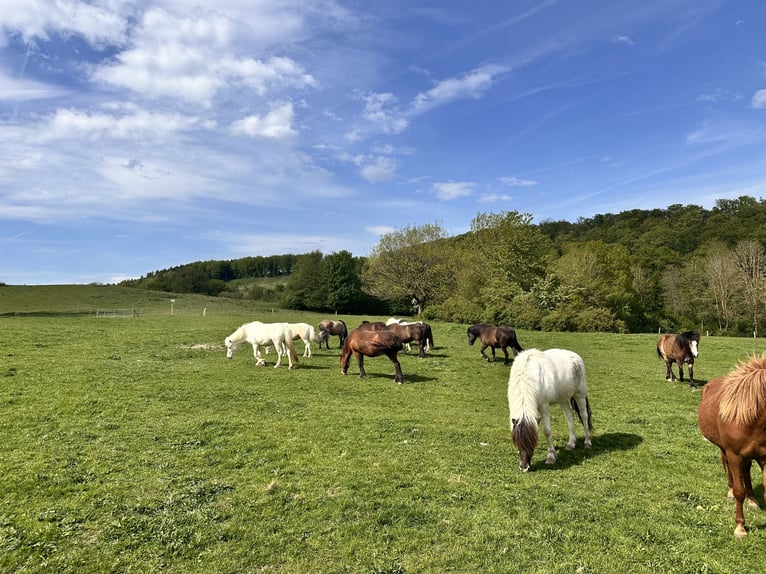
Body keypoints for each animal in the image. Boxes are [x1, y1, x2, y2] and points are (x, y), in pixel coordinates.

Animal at [698, 353, 766, 538]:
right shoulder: (734, 454)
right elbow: (738, 491)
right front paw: (740, 527)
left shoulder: (765, 457)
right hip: (725, 450)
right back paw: (730, 492)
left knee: (746, 469)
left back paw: (753, 500)